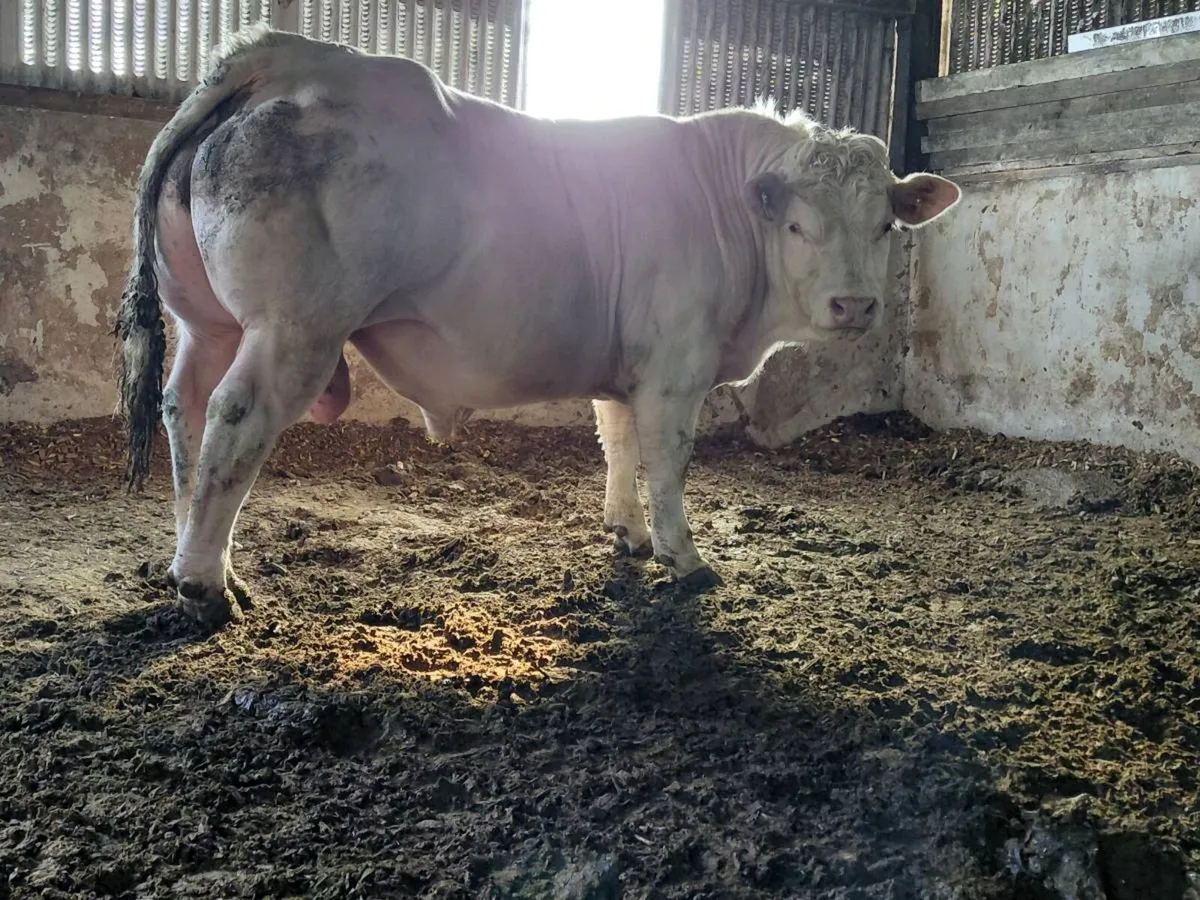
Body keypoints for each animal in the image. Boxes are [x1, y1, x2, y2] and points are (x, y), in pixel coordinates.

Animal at [114, 26, 961, 628]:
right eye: (796, 224)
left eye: (885, 223)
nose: (855, 306)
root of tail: (284, 54)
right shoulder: (675, 366)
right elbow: (668, 460)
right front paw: (684, 556)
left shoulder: (628, 366)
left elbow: (619, 446)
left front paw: (629, 535)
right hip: (293, 330)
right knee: (235, 419)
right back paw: (206, 585)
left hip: (209, 323)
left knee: (185, 410)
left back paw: (197, 558)